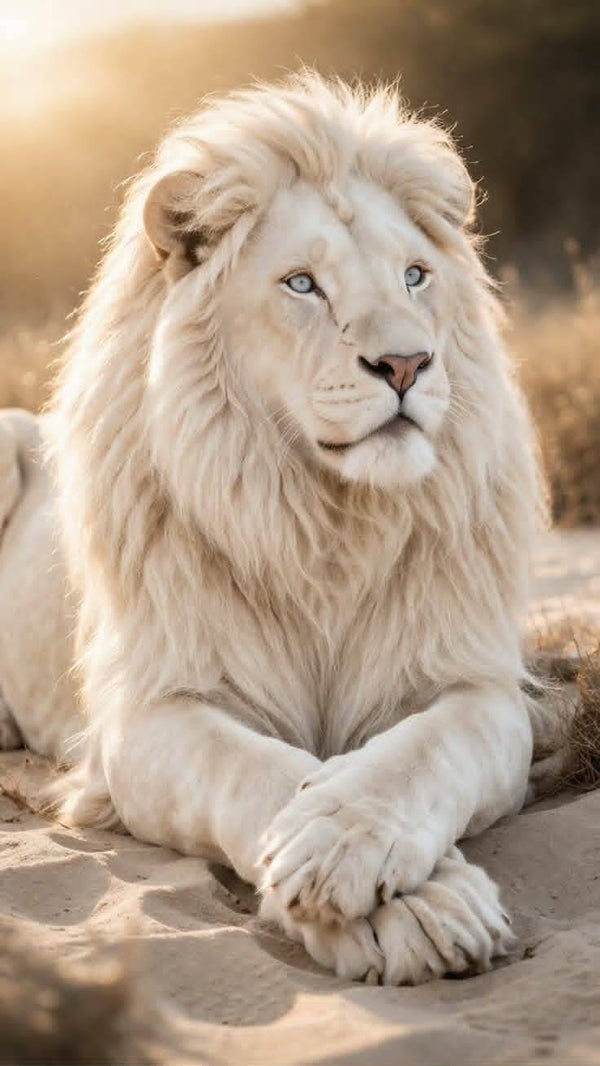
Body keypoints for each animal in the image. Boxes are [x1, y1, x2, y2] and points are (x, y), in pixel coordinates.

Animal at [1, 74, 545, 985]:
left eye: (415, 276)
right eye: (302, 285)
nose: (408, 364)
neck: (329, 519)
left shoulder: (475, 686)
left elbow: (422, 752)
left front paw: (354, 847)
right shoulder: (148, 714)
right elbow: (255, 770)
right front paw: (406, 903)